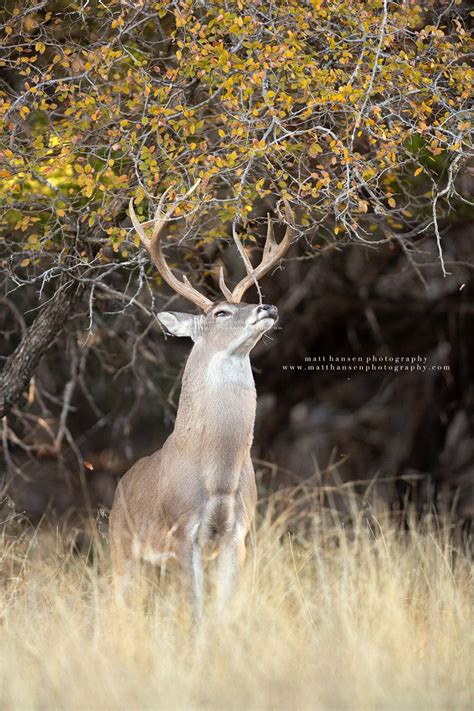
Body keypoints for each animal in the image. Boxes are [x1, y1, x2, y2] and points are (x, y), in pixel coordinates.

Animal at [109, 186, 294, 620]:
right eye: (221, 312)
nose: (267, 306)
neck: (219, 474)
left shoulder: (236, 536)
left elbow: (222, 611)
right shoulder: (182, 532)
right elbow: (195, 613)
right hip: (120, 549)